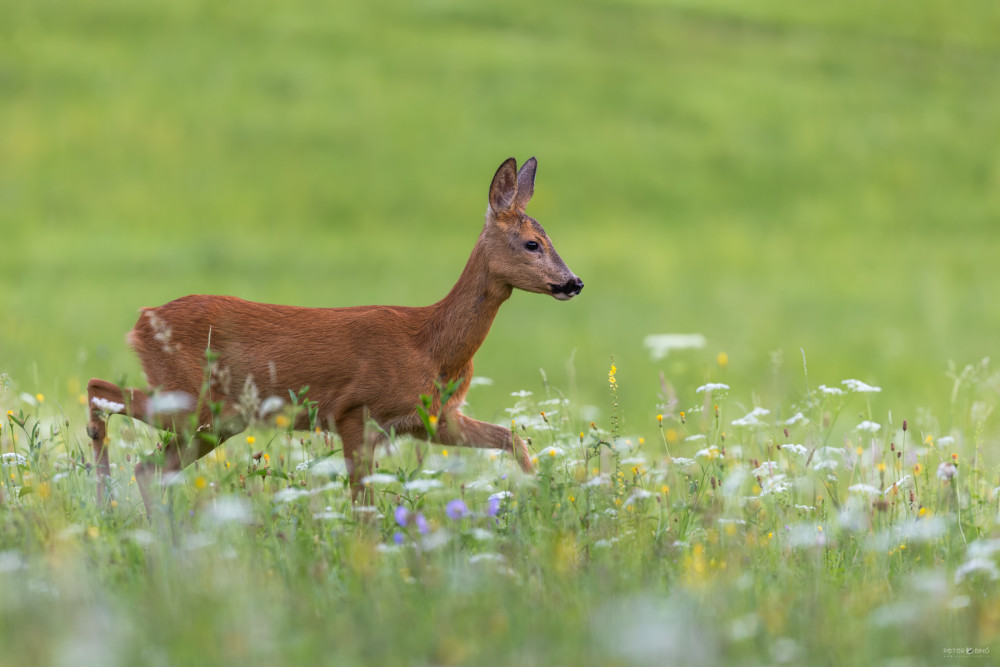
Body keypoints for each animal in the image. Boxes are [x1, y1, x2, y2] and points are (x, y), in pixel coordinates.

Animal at [89, 157, 584, 516]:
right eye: (532, 244)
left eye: (549, 238)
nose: (573, 282)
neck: (432, 345)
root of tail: (142, 321)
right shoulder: (355, 413)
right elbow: (363, 508)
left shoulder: (435, 420)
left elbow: (512, 439)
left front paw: (539, 500)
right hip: (196, 401)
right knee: (102, 394)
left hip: (212, 418)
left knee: (149, 467)